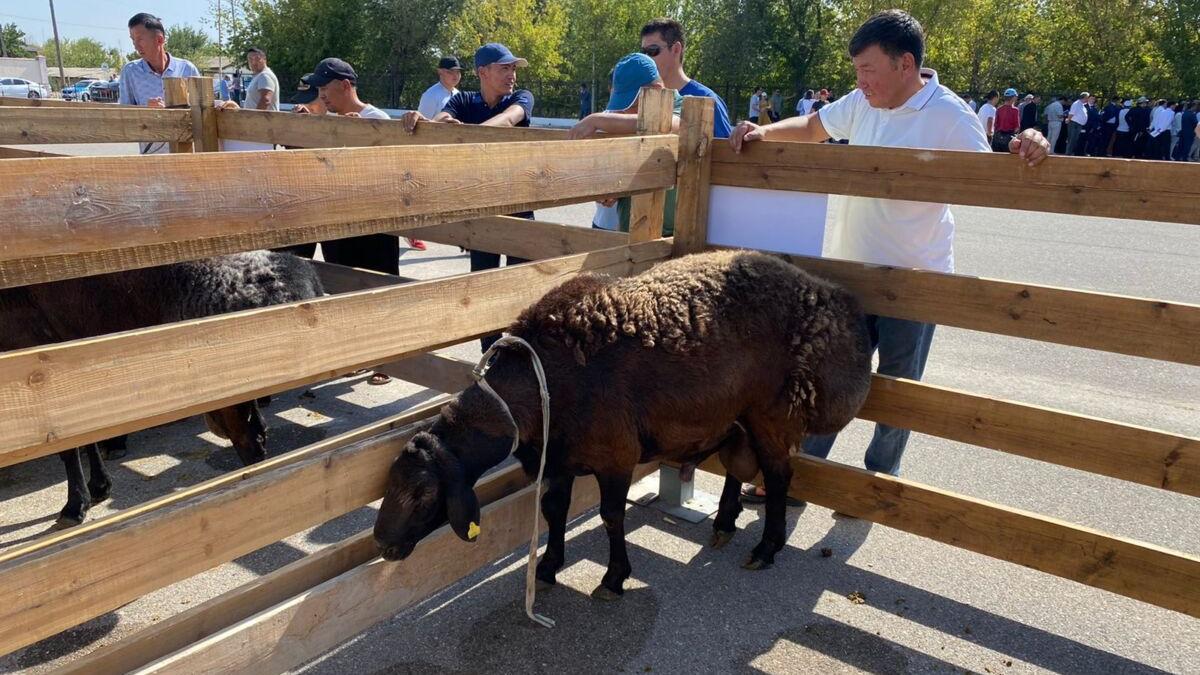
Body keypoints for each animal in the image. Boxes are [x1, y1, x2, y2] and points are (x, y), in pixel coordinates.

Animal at [369, 249, 868, 595]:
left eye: (422, 494)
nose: (383, 544)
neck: (541, 379)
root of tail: (833, 296)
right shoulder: (558, 456)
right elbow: (553, 509)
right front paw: (547, 567)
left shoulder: (615, 456)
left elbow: (611, 516)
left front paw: (613, 578)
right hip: (739, 411)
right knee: (739, 465)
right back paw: (725, 523)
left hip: (774, 411)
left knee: (779, 475)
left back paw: (765, 548)